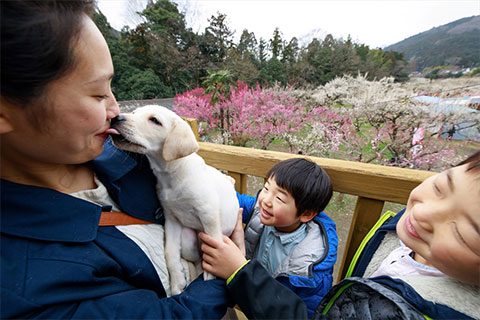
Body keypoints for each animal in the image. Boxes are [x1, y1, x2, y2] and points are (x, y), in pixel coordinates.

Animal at [108, 105, 237, 296]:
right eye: (134, 113)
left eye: (155, 120)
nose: (116, 118)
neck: (171, 175)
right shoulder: (171, 219)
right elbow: (170, 252)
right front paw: (177, 281)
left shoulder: (209, 213)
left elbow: (214, 244)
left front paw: (210, 276)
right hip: (188, 240)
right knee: (197, 260)